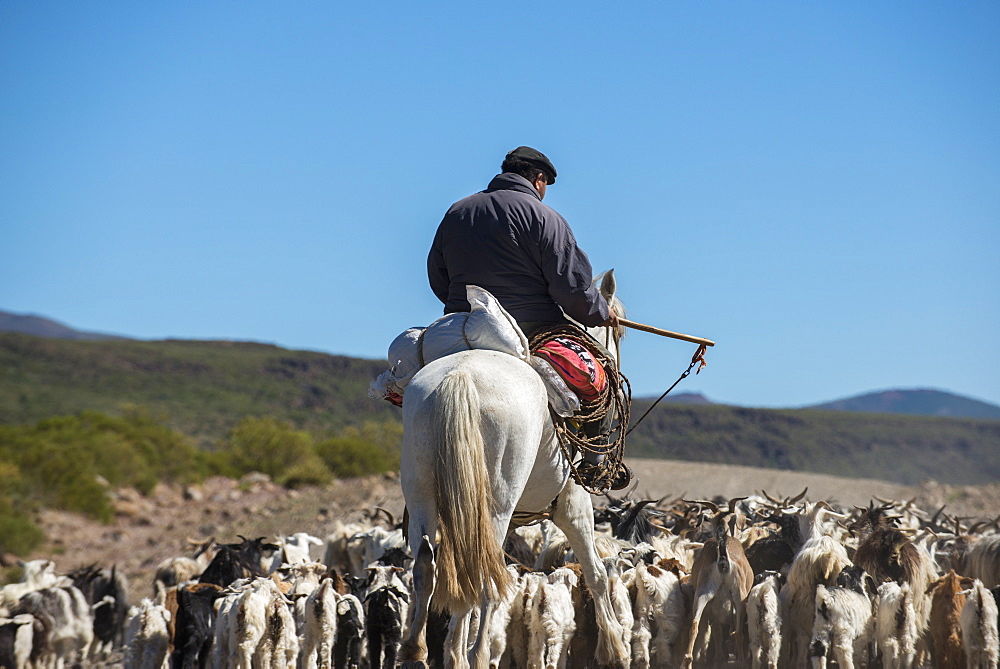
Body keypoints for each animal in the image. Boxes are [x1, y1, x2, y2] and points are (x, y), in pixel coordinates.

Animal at [396, 272, 624, 668]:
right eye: (620, 332)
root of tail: (459, 377)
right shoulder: (573, 504)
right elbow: (596, 572)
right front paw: (614, 649)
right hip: (497, 504)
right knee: (483, 574)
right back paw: (474, 654)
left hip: (423, 493)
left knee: (429, 565)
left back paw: (419, 651)